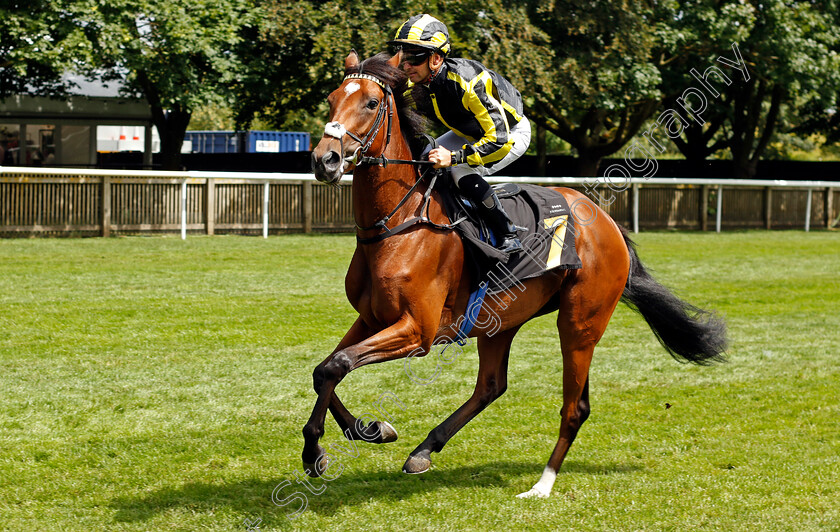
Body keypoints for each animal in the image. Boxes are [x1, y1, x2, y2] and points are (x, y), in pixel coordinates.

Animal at [306, 51, 724, 498]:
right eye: (331, 99)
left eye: (370, 103)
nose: (325, 159)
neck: (398, 224)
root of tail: (607, 222)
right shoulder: (371, 318)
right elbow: (324, 369)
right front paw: (366, 430)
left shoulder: (417, 330)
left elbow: (337, 364)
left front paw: (317, 451)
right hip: (501, 320)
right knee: (491, 385)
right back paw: (424, 450)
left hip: (579, 322)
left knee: (574, 406)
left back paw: (542, 484)